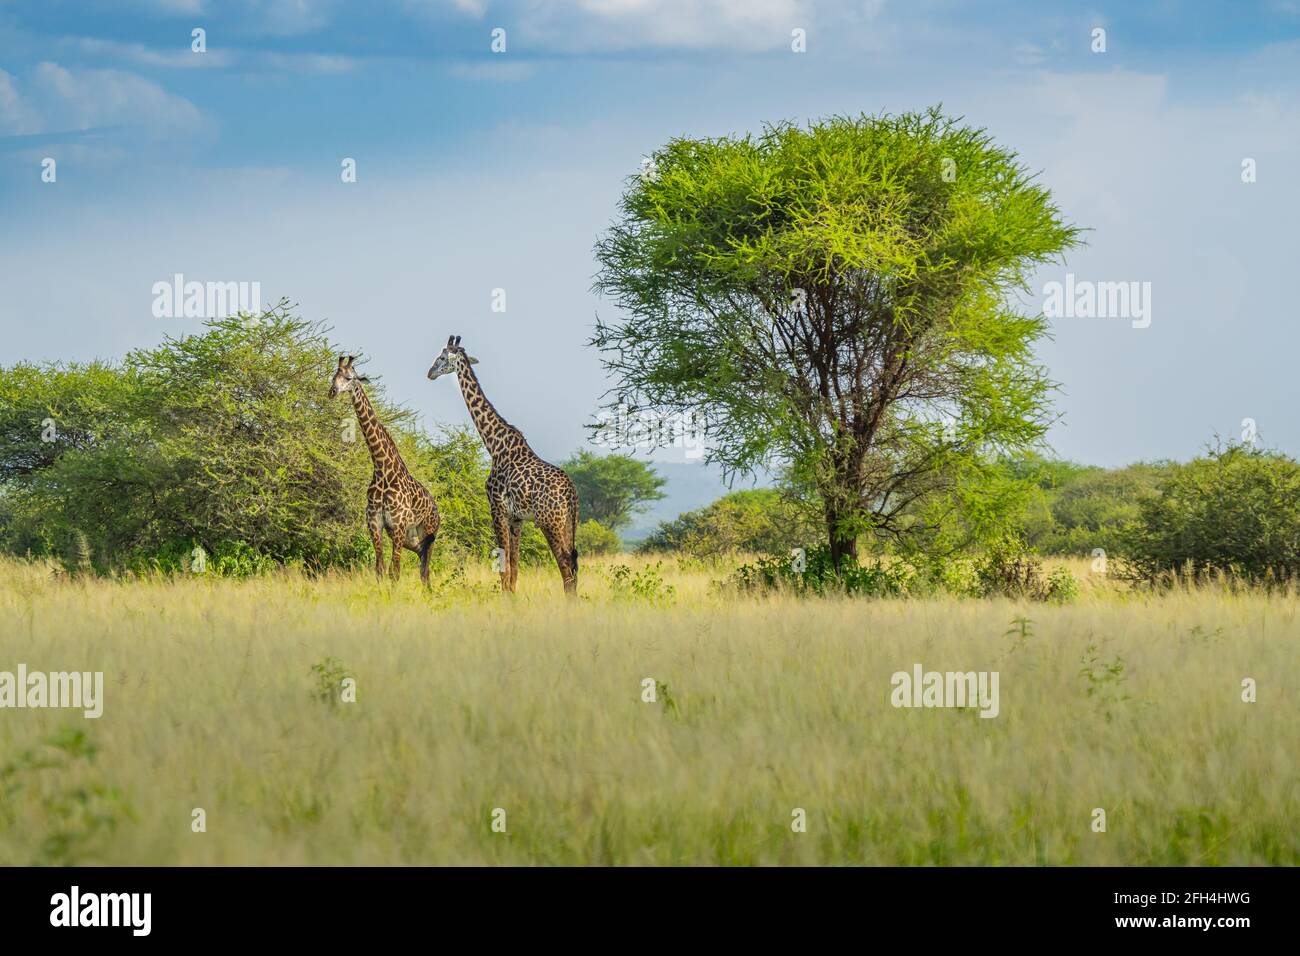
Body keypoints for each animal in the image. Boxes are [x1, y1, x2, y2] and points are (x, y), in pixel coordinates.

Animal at [330, 355, 440, 587]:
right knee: (422, 564)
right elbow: (380, 570)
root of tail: (437, 510)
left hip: (428, 533)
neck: (382, 468)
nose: (332, 391)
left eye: (349, 377)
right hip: (411, 538)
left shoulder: (397, 525)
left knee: (425, 568)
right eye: (334, 375)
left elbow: (394, 572)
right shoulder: (375, 523)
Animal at [427, 336, 579, 596]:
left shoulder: (497, 509)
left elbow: (503, 567)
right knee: (574, 568)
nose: (430, 373)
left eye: (442, 357)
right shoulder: (516, 518)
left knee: (566, 567)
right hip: (568, 523)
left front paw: (505, 599)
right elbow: (514, 568)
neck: (495, 445)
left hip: (550, 522)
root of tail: (571, 493)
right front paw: (513, 599)